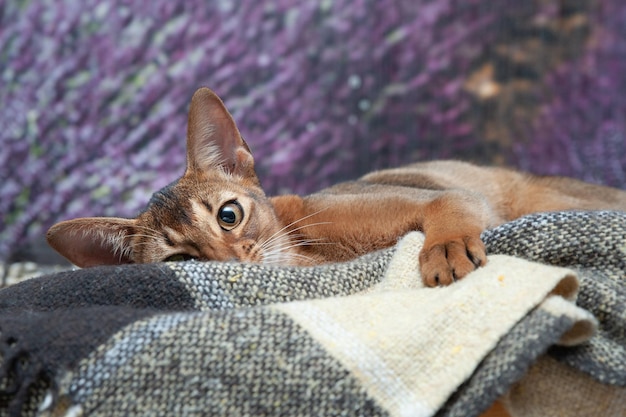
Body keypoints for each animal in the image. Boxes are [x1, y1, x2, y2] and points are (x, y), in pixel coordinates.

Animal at [45, 84, 624, 286]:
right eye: (182, 261)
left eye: (229, 215)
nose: (232, 263)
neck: (313, 255)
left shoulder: (448, 194)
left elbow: (448, 209)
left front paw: (446, 248)